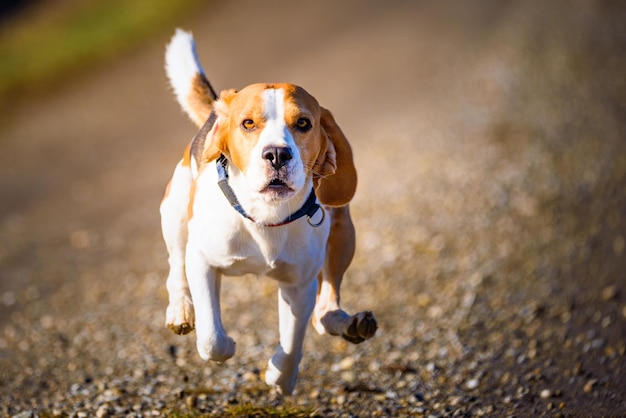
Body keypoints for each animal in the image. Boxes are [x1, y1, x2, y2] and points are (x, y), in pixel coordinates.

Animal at [161, 30, 376, 396]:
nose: (277, 154)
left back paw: (351, 324)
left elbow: (293, 340)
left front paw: (281, 378)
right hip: (174, 214)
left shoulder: (298, 284)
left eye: (303, 123)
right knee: (175, 268)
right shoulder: (201, 260)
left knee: (324, 310)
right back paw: (180, 310)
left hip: (343, 233)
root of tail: (221, 102)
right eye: (247, 123)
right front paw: (228, 346)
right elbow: (212, 339)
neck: (265, 216)